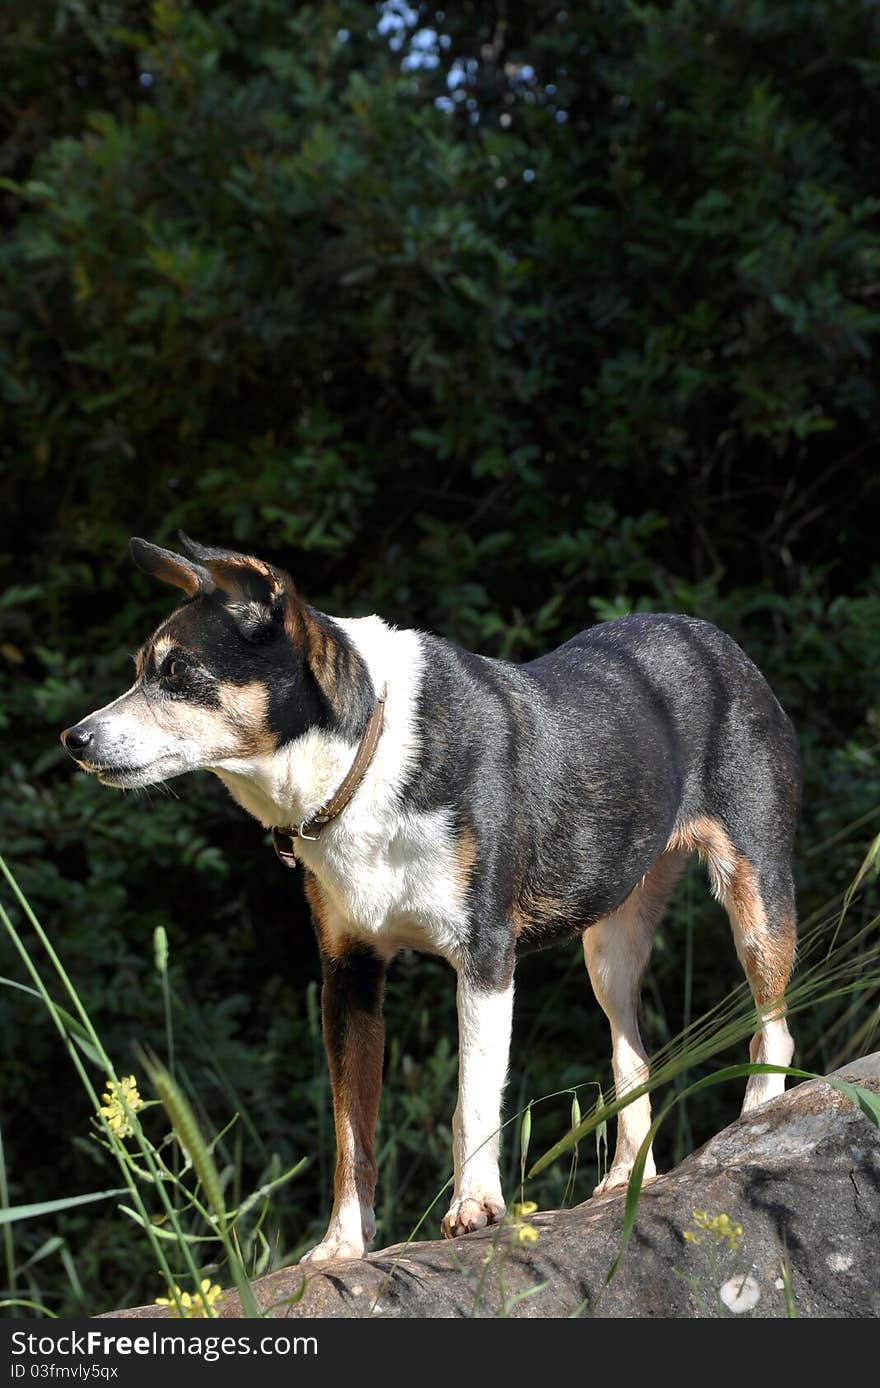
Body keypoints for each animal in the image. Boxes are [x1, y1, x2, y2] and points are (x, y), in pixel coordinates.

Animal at [60, 535, 793, 1265]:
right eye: (140, 670)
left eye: (178, 671)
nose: (74, 739)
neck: (366, 753)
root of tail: (715, 639)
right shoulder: (349, 975)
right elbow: (351, 1131)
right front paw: (342, 1244)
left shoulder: (486, 960)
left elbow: (472, 1100)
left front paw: (476, 1208)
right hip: (609, 948)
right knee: (631, 1054)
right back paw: (620, 1184)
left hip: (757, 900)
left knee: (774, 1027)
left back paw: (758, 1118)